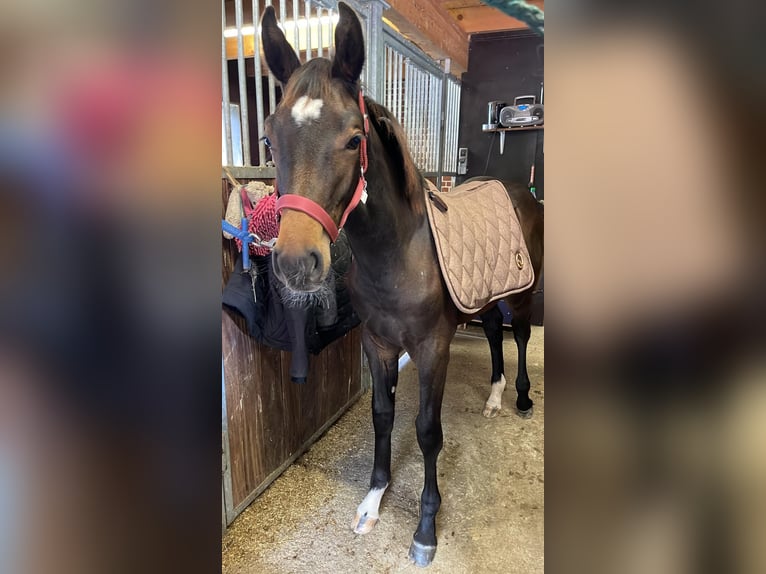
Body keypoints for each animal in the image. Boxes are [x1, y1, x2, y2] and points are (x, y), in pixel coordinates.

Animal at [264, 3, 544, 572]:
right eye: (269, 140)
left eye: (354, 139)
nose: (297, 263)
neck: (397, 255)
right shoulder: (379, 344)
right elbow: (382, 416)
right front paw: (373, 501)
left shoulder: (432, 346)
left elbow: (427, 431)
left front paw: (425, 528)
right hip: (483, 298)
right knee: (492, 332)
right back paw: (494, 396)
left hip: (521, 294)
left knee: (521, 335)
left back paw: (522, 398)